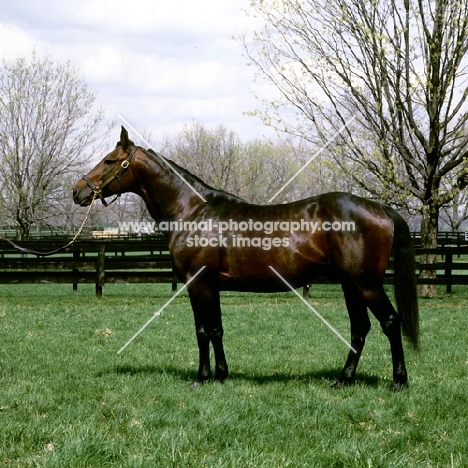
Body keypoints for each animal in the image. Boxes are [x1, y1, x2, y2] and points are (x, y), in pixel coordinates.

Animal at [74, 126, 420, 390]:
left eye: (109, 161)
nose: (78, 191)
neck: (192, 211)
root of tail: (379, 208)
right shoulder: (211, 285)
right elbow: (216, 330)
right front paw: (221, 375)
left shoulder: (198, 284)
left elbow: (202, 331)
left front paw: (201, 378)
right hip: (351, 284)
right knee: (360, 328)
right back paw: (343, 380)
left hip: (367, 284)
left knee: (390, 322)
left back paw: (398, 382)